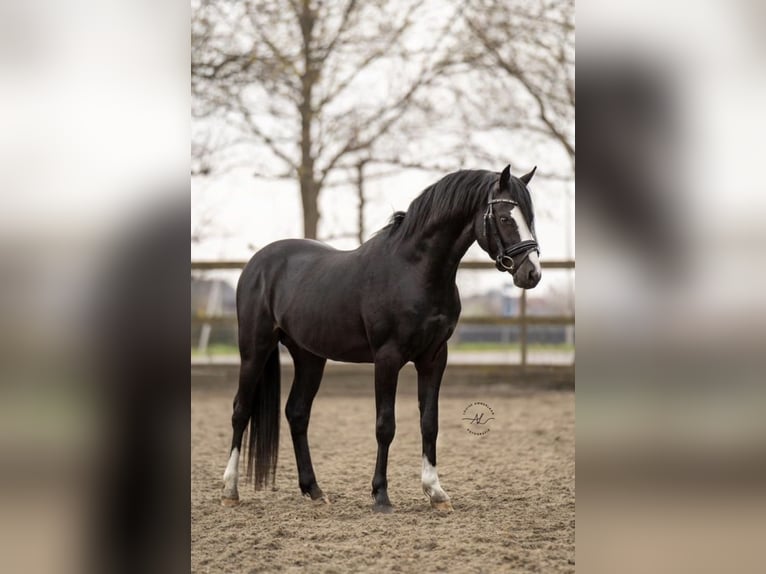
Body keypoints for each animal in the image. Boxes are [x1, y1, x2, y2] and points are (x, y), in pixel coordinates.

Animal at [221, 165, 541, 513]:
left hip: (309, 356)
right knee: (241, 410)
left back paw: (314, 490)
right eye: (506, 217)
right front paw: (381, 496)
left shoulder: (434, 357)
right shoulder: (387, 358)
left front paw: (436, 492)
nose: (532, 273)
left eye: (530, 217)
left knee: (297, 413)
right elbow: (385, 425)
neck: (414, 271)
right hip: (255, 349)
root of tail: (257, 263)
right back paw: (230, 491)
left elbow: (429, 422)